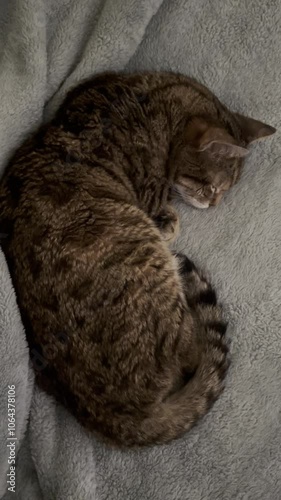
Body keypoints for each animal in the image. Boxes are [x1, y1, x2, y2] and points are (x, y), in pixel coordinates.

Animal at [0, 70, 274, 446]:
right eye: (211, 188)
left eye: (222, 190)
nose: (215, 203)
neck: (151, 98)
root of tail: (121, 419)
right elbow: (171, 217)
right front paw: (171, 218)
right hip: (148, 255)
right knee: (192, 353)